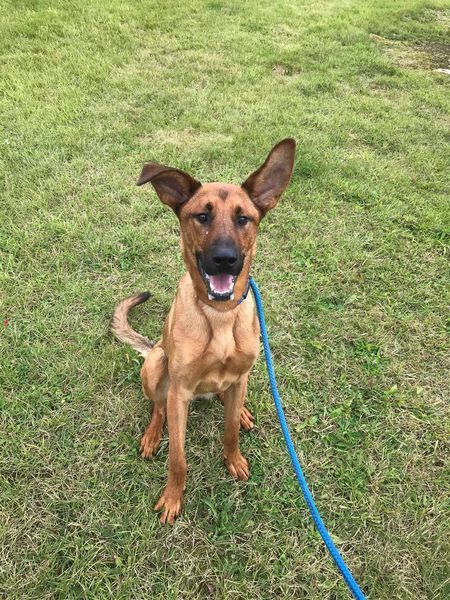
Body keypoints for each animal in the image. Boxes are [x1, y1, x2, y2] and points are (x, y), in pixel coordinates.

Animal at [111, 138, 298, 524]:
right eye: (202, 216)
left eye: (243, 218)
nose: (225, 259)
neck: (220, 315)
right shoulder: (180, 391)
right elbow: (178, 459)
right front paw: (172, 498)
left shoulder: (240, 375)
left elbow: (229, 434)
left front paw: (234, 459)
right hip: (156, 364)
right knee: (158, 407)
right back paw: (152, 435)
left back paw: (240, 412)